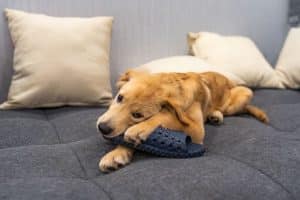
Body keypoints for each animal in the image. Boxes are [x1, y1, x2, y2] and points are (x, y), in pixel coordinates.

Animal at [97, 70, 268, 172]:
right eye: (119, 97)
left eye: (137, 115)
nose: (102, 128)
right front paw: (116, 153)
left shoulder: (196, 128)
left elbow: (164, 116)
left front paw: (139, 129)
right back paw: (214, 115)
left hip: (243, 94)